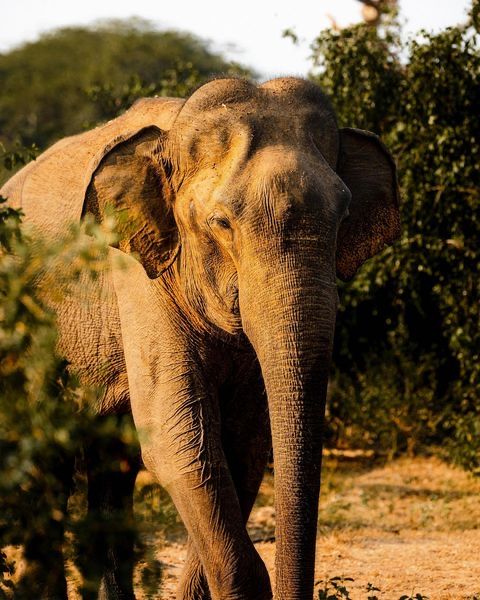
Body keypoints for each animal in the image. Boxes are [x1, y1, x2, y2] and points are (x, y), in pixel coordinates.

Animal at [1, 76, 400, 600]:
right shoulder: (137, 277)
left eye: (344, 215)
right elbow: (179, 441)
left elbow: (244, 442)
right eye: (221, 224)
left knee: (112, 464)